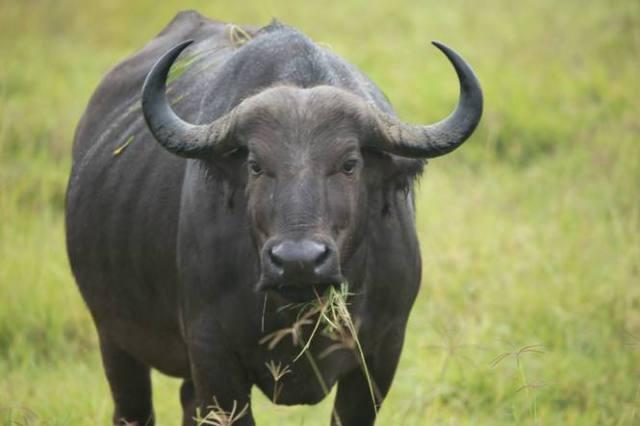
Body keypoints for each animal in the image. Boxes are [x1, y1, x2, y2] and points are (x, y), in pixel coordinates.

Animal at [66, 10, 480, 426]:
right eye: (255, 165)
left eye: (349, 164)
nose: (299, 261)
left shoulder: (381, 353)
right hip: (114, 337)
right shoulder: (213, 356)